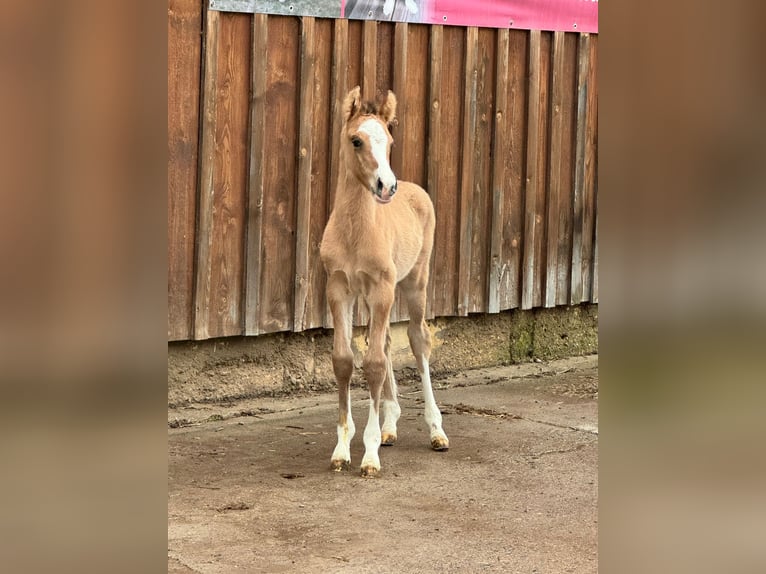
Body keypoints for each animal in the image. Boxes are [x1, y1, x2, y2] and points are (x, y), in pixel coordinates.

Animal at [320, 86, 450, 482]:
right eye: (356, 140)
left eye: (390, 142)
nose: (386, 186)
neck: (355, 232)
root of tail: (413, 189)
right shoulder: (340, 289)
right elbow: (345, 359)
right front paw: (342, 450)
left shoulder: (382, 289)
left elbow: (375, 363)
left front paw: (370, 454)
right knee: (390, 341)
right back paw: (390, 425)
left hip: (413, 283)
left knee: (418, 341)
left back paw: (436, 431)